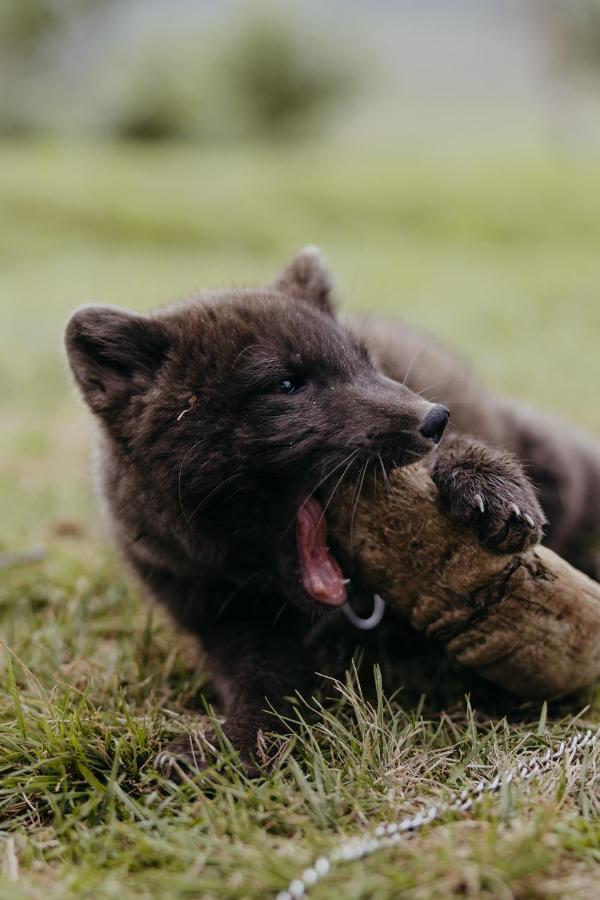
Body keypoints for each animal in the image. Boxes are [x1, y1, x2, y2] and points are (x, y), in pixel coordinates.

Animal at [65, 246, 600, 772]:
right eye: (285, 384)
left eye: (365, 362)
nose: (435, 417)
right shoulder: (221, 616)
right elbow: (263, 681)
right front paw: (231, 746)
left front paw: (488, 483)